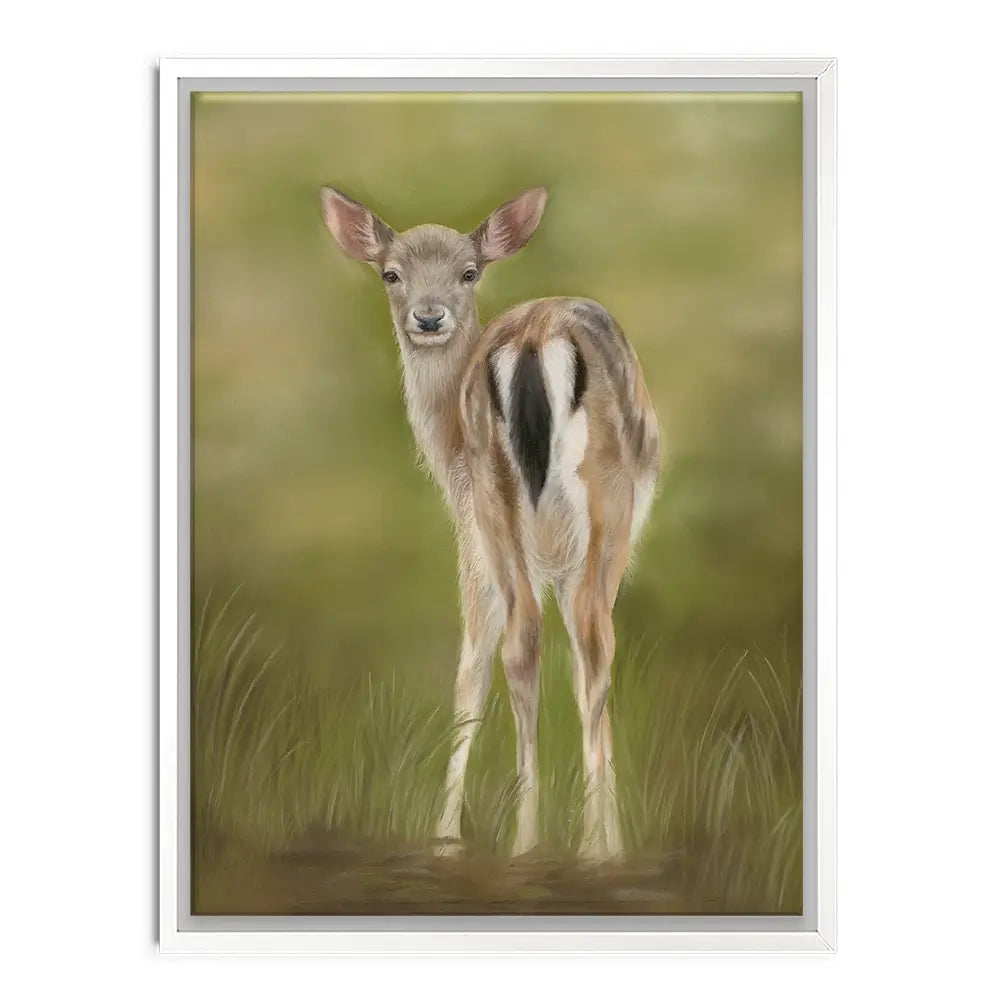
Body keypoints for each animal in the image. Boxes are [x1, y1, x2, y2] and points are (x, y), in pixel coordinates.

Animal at [319, 185, 660, 860]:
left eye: (468, 272)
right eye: (390, 273)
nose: (428, 318)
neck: (445, 452)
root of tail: (533, 340)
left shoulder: (489, 540)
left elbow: (484, 666)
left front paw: (446, 836)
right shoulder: (490, 545)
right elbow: (491, 669)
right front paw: (449, 835)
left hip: (506, 503)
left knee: (537, 641)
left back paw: (536, 842)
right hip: (588, 509)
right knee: (581, 641)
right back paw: (571, 847)